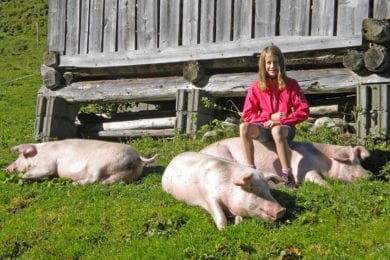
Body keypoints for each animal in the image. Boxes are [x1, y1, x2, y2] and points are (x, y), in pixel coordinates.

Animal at [5, 138, 156, 185]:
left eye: (20, 157)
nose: (6, 168)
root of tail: (137, 157)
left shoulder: (48, 163)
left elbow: (45, 170)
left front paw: (23, 176)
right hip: (124, 174)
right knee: (108, 181)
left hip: (98, 163)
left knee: (93, 179)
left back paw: (74, 184)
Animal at [201, 136, 372, 187]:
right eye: (351, 162)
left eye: (361, 161)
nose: (370, 174)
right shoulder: (301, 169)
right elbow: (316, 178)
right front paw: (330, 187)